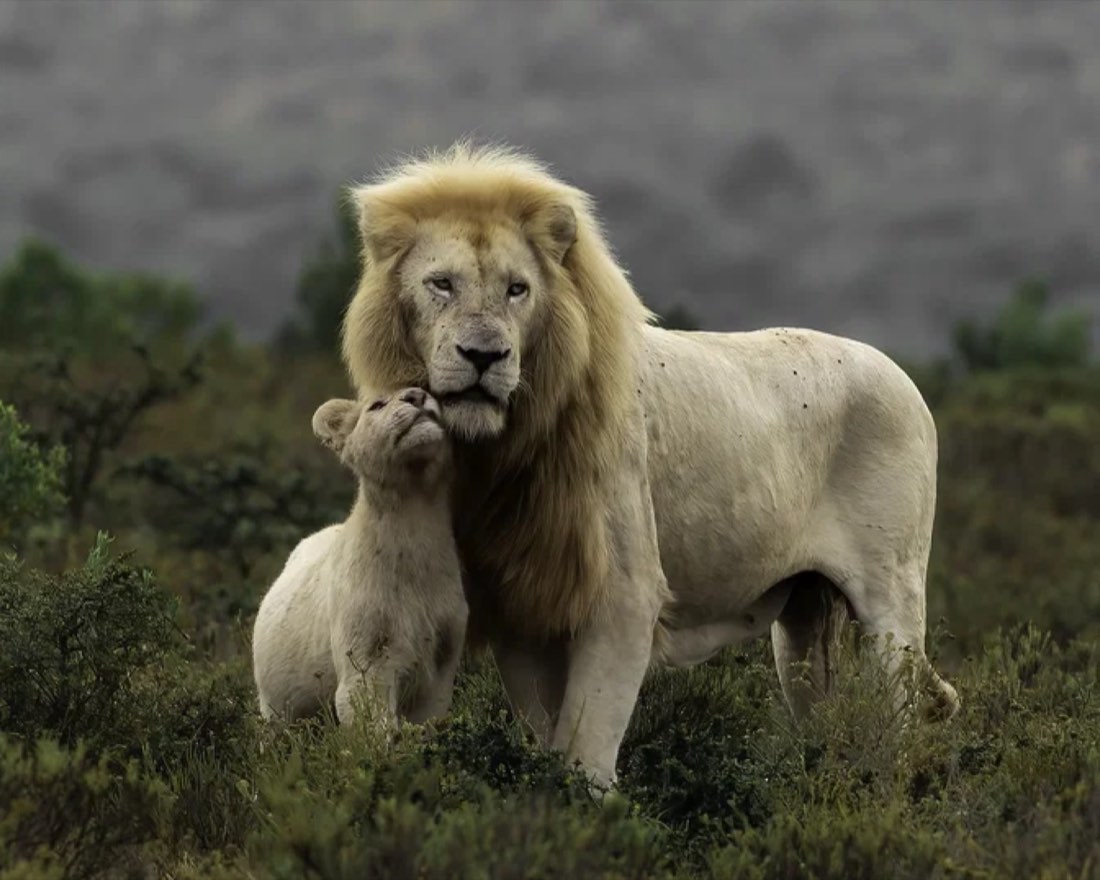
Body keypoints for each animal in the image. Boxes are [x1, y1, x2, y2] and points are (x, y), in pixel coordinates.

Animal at [252, 387, 467, 728]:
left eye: (429, 392)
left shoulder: (443, 641)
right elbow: (366, 703)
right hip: (275, 700)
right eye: (377, 404)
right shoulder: (368, 638)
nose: (417, 396)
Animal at [340, 142, 959, 787]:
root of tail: (902, 376)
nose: (485, 356)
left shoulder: (623, 593)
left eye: (517, 289)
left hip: (892, 600)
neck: (501, 450)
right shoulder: (527, 600)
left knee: (898, 715)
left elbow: (587, 742)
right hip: (801, 622)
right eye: (441, 284)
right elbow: (548, 732)